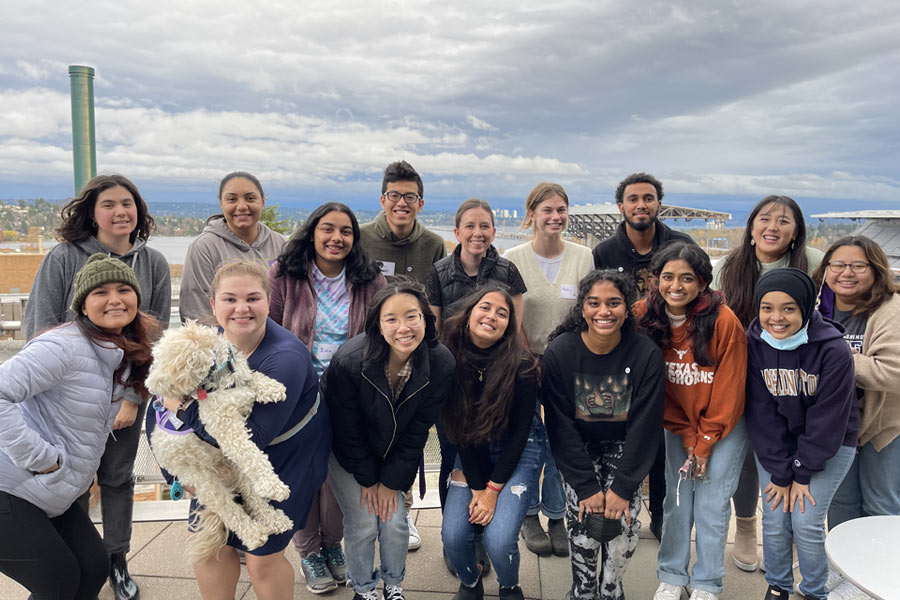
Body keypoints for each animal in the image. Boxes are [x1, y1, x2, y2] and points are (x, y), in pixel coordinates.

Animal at [144, 322, 292, 560]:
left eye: (158, 360)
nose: (149, 385)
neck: (220, 373)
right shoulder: (220, 421)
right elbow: (249, 453)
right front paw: (272, 485)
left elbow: (252, 378)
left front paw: (271, 387)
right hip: (203, 480)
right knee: (230, 511)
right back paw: (254, 534)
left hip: (233, 467)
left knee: (251, 496)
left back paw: (275, 520)